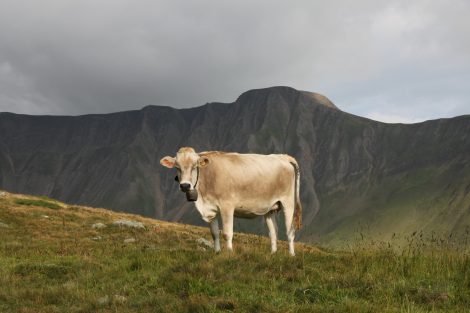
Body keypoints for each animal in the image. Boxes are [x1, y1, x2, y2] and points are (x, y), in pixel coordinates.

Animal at [160, 146, 302, 254]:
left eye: (195, 166)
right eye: (177, 167)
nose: (185, 185)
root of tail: (283, 156)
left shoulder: (227, 206)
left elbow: (227, 233)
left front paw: (229, 253)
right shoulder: (211, 209)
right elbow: (214, 233)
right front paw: (217, 252)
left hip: (288, 202)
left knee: (290, 230)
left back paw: (291, 254)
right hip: (270, 207)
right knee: (273, 232)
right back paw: (273, 253)